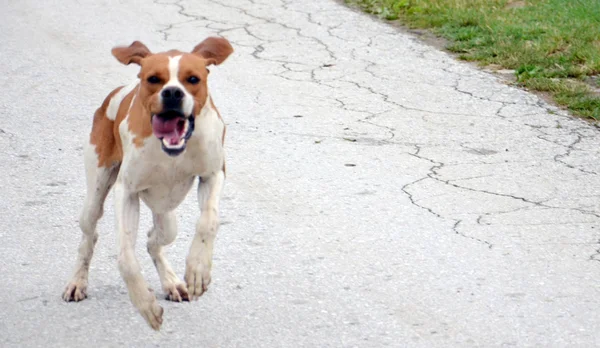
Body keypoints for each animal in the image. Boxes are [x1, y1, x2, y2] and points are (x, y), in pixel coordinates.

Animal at [61, 36, 234, 330]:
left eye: (193, 79)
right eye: (154, 79)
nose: (173, 93)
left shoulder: (213, 173)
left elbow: (208, 221)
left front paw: (197, 269)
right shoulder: (126, 192)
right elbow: (126, 258)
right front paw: (145, 303)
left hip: (167, 219)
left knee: (154, 240)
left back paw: (172, 282)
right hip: (95, 196)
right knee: (89, 236)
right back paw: (77, 282)